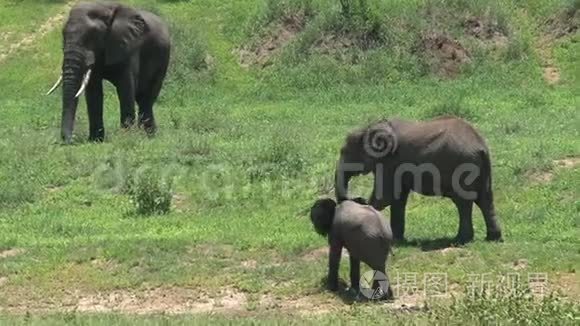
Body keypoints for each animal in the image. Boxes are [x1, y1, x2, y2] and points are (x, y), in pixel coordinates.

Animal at [47, 1, 170, 143]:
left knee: (146, 98)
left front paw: (125, 138)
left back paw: (147, 136)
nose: (69, 140)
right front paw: (95, 141)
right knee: (141, 98)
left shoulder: (128, 47)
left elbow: (126, 88)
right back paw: (149, 134)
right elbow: (94, 91)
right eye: (63, 36)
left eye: (92, 36)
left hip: (163, 58)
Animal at [336, 116, 502, 243]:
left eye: (345, 152)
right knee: (485, 200)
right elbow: (398, 198)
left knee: (463, 202)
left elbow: (385, 197)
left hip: (462, 165)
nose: (358, 198)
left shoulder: (389, 162)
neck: (370, 127)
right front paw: (396, 240)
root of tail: (481, 146)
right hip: (481, 169)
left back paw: (461, 240)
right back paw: (492, 239)